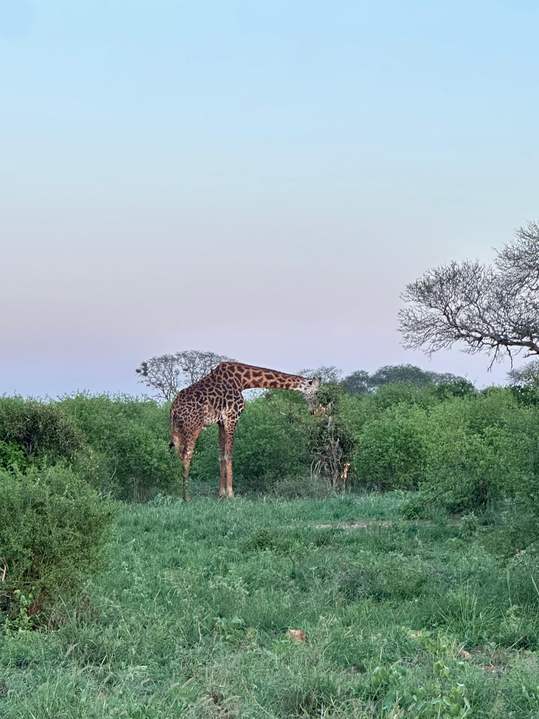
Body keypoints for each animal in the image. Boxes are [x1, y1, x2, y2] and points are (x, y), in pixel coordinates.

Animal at [170, 362, 321, 499]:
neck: (243, 380)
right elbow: (229, 455)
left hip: (176, 430)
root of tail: (173, 410)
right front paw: (231, 494)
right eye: (316, 392)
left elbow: (221, 456)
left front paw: (221, 494)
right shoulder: (232, 417)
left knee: (177, 455)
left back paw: (179, 494)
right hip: (193, 427)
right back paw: (187, 497)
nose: (314, 411)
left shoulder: (221, 422)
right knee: (187, 455)